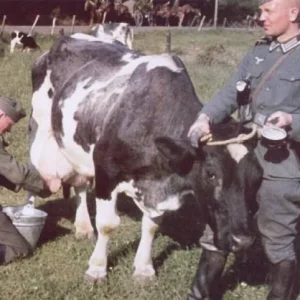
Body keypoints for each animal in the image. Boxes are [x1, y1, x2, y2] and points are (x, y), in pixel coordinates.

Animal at [29, 35, 262, 284]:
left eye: (257, 177)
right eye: (211, 173)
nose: (243, 240)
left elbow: (151, 226)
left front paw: (144, 268)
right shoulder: (106, 173)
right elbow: (107, 225)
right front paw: (97, 268)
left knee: (80, 184)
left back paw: (83, 227)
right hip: (38, 130)